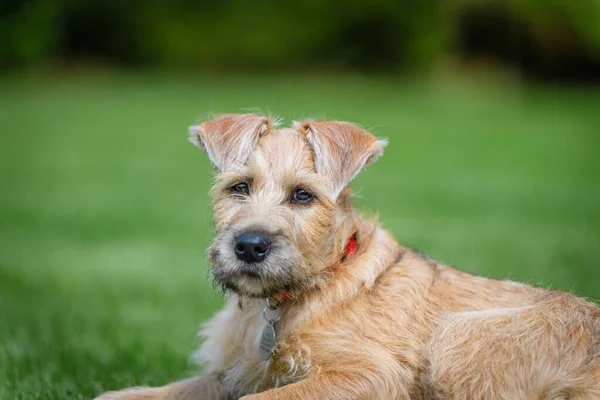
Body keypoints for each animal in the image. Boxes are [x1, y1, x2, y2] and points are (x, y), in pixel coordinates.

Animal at [95, 113, 600, 400]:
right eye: (239, 187)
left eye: (303, 196)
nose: (250, 246)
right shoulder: (232, 373)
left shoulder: (369, 374)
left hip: (459, 341)